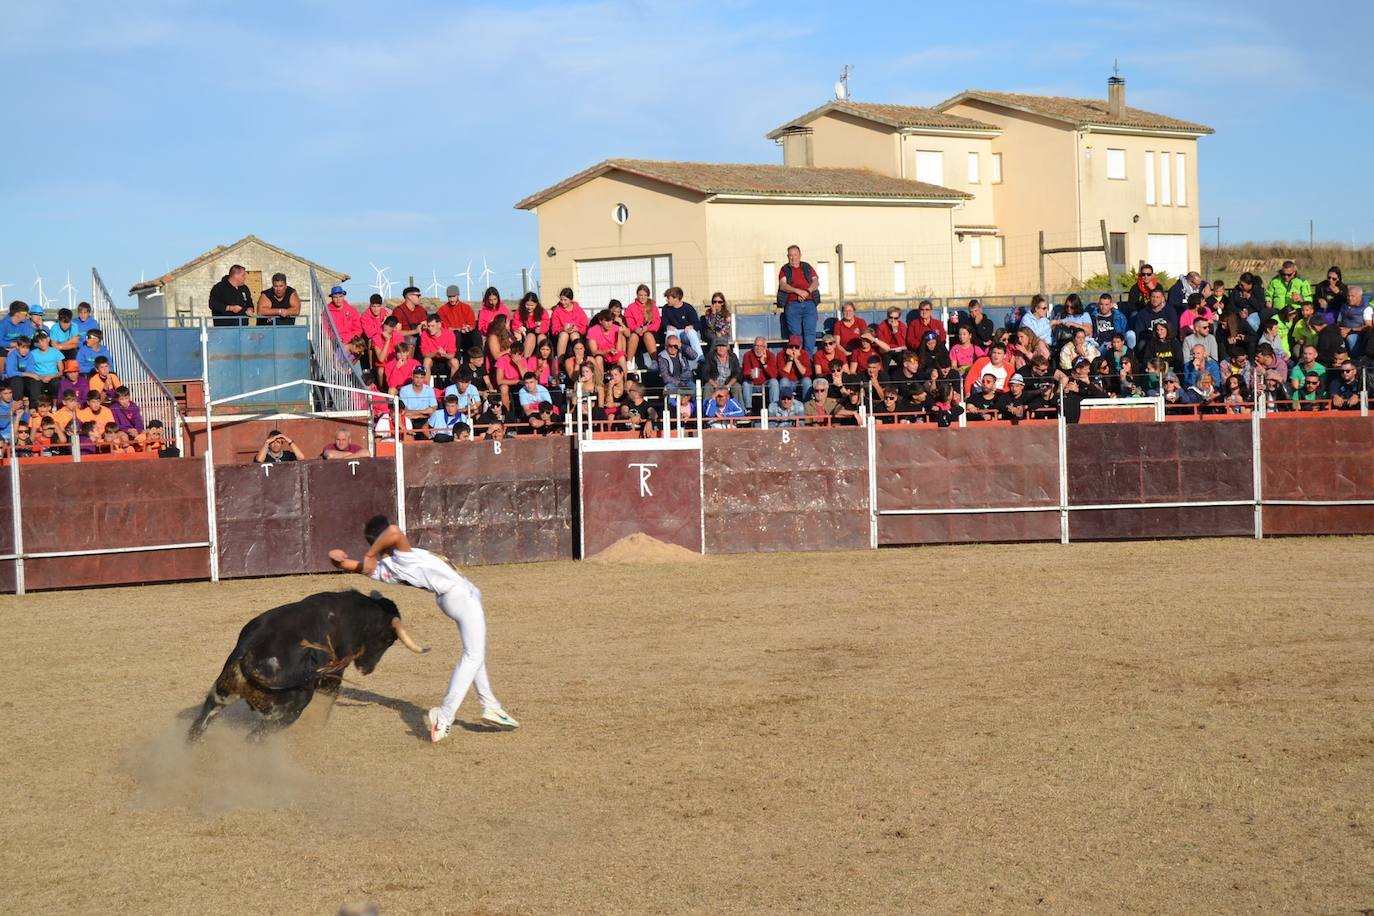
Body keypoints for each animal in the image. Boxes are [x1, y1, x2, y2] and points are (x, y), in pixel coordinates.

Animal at [188, 590, 423, 741]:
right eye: (387, 640)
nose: (367, 669)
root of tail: (249, 659)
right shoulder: (335, 672)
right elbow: (328, 696)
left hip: (219, 695)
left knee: (197, 728)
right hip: (285, 713)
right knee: (254, 739)